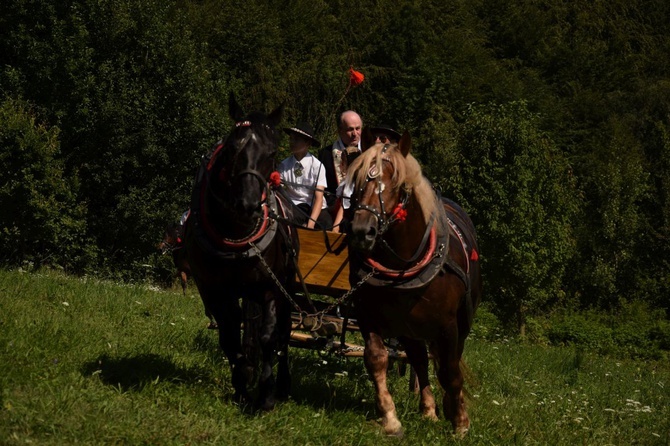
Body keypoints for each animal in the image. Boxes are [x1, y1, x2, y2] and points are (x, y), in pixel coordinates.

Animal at [185, 95, 298, 412]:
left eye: (271, 152)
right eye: (232, 148)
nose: (247, 205)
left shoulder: (271, 287)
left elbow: (269, 338)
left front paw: (266, 394)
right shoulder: (214, 290)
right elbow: (229, 338)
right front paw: (242, 385)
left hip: (287, 287)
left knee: (284, 333)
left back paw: (283, 384)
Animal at [346, 134, 484, 438]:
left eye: (397, 184)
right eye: (359, 181)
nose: (362, 231)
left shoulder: (449, 325)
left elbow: (450, 372)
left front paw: (460, 422)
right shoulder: (366, 314)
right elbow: (376, 358)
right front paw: (390, 418)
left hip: (457, 324)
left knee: (445, 362)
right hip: (409, 328)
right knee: (419, 360)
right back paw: (428, 410)